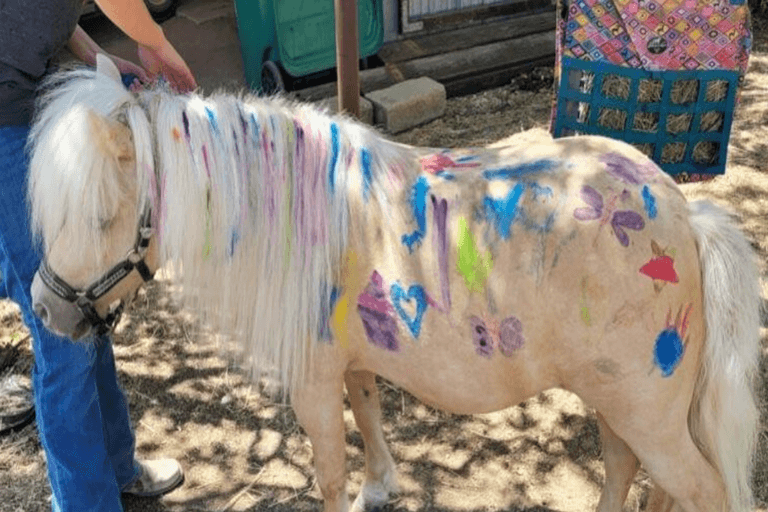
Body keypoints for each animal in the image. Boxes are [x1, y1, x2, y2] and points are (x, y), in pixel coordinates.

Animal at [28, 54, 761, 512]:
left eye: (100, 216)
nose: (43, 309)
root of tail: (686, 214)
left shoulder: (312, 385)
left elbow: (328, 474)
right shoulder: (353, 364)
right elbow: (370, 414)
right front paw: (381, 487)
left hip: (647, 413)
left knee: (695, 490)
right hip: (621, 407)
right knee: (630, 474)